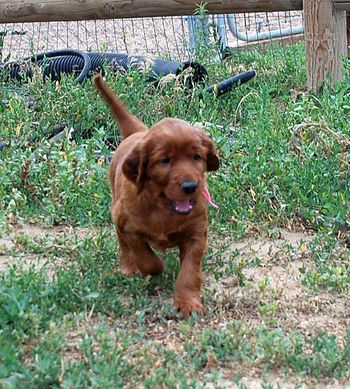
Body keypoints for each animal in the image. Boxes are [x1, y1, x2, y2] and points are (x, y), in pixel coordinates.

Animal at [93, 76, 219, 318]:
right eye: (165, 160)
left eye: (197, 157)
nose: (191, 186)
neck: (164, 208)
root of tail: (137, 132)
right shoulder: (128, 226)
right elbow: (145, 257)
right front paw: (155, 268)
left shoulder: (196, 234)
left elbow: (189, 271)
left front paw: (188, 303)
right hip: (116, 211)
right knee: (123, 246)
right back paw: (128, 268)